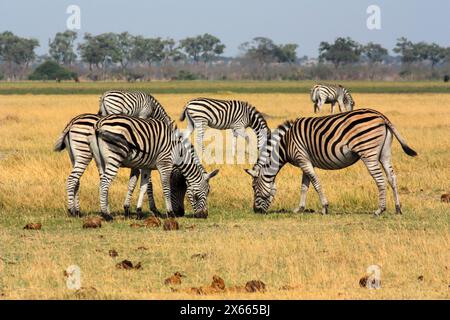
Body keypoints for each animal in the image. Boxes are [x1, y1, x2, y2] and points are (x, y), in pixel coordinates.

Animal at [55, 114, 188, 219]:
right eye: (178, 189)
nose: (181, 213)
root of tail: (72, 122)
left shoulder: (139, 165)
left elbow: (135, 185)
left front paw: (129, 210)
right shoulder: (145, 164)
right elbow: (148, 186)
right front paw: (155, 210)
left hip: (78, 157)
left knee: (78, 181)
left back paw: (78, 211)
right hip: (85, 154)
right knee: (75, 180)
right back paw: (77, 212)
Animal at [89, 114, 219, 221]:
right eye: (199, 194)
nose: (204, 215)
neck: (178, 151)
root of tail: (99, 124)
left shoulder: (146, 167)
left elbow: (143, 187)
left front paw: (138, 212)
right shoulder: (165, 164)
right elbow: (166, 188)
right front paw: (170, 213)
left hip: (100, 160)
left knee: (102, 183)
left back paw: (105, 211)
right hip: (114, 157)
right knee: (105, 183)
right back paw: (107, 215)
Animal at [246, 109, 418, 216]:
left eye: (254, 187)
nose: (255, 211)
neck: (285, 144)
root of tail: (381, 116)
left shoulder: (303, 159)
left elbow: (315, 184)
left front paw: (324, 207)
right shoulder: (305, 161)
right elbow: (304, 186)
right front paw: (299, 209)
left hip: (368, 152)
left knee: (381, 180)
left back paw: (379, 210)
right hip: (384, 153)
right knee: (392, 178)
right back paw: (397, 209)